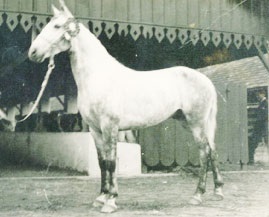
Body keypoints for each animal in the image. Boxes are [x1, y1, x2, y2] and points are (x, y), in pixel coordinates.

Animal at [28, 0, 223, 213]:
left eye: (56, 26)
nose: (33, 52)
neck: (97, 76)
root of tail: (206, 80)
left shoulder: (110, 127)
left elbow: (112, 162)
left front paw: (111, 201)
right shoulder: (95, 130)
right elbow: (102, 162)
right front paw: (101, 197)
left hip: (196, 123)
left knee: (204, 152)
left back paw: (197, 196)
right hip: (190, 122)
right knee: (212, 150)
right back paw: (218, 191)